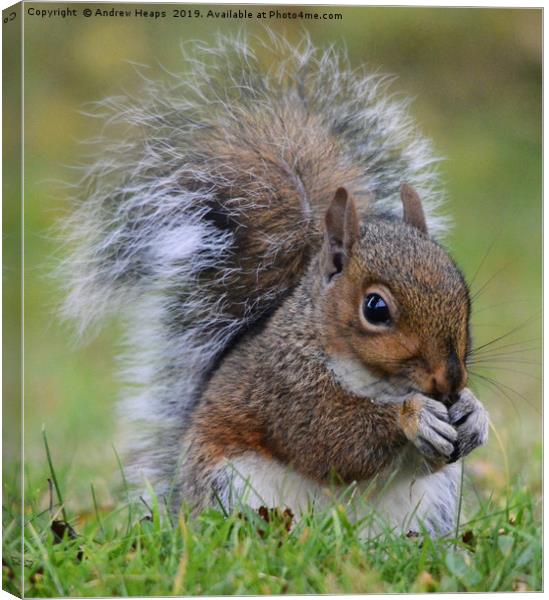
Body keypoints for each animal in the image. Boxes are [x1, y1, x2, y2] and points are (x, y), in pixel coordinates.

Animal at [62, 35, 490, 536]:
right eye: (376, 308)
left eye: (462, 292)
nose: (451, 383)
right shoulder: (286, 387)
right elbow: (331, 442)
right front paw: (415, 415)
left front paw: (474, 413)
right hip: (233, 485)